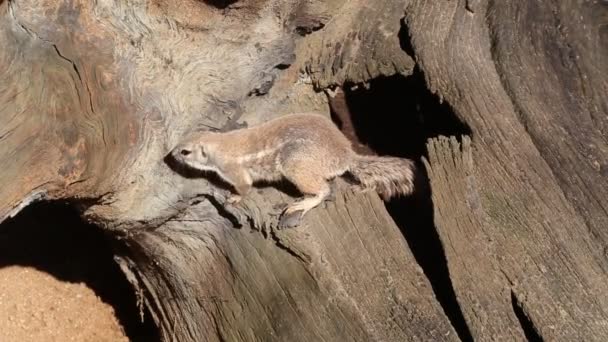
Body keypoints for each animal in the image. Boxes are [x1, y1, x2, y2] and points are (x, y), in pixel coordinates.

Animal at [173, 113, 416, 228]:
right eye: (182, 138)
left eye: (185, 151)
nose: (171, 154)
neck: (219, 145)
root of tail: (347, 155)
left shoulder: (233, 170)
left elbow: (244, 187)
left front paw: (233, 198)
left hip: (294, 165)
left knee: (324, 190)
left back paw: (302, 204)